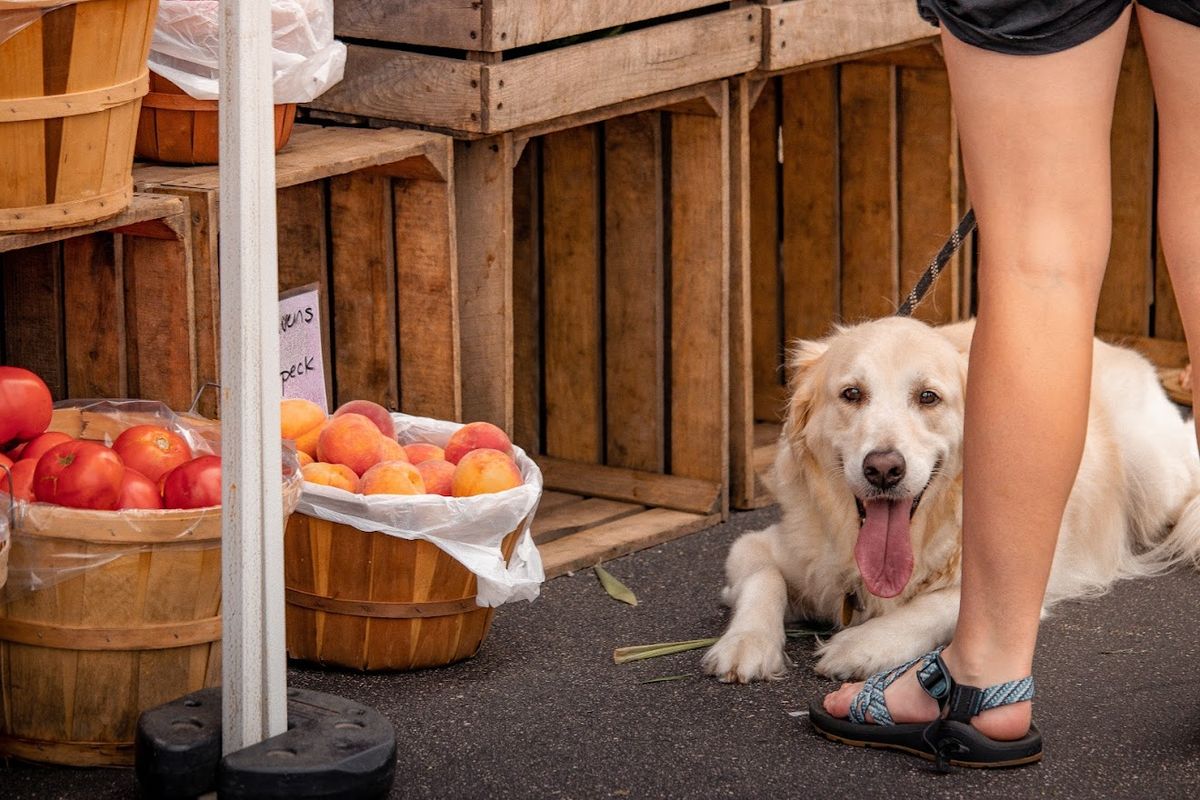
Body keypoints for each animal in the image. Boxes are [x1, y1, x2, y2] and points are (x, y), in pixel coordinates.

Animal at [700, 316, 1200, 681]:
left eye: (928, 397)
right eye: (851, 394)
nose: (884, 469)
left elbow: (935, 606)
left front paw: (863, 645)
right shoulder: (758, 545)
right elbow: (764, 578)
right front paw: (747, 643)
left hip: (1153, 475)